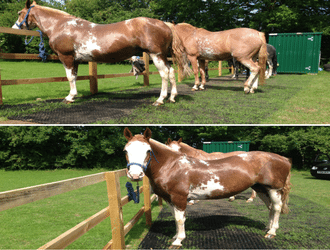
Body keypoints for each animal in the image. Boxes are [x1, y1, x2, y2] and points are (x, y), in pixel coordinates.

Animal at [12, 0, 189, 105]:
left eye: (20, 13)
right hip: (163, 56)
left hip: (156, 55)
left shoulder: (66, 57)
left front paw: (69, 97)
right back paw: (172, 97)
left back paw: (160, 99)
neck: (61, 26)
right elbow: (74, 76)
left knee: (164, 74)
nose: (14, 28)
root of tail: (165, 24)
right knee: (171, 72)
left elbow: (70, 77)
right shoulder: (75, 60)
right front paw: (73, 95)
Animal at [124, 129, 292, 248]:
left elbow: (180, 219)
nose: (135, 174)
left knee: (277, 208)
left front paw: (178, 241)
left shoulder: (179, 198)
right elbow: (176, 218)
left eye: (148, 151)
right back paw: (267, 228)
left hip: (274, 189)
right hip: (262, 189)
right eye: (126, 151)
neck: (172, 166)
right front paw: (175, 236)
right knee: (270, 207)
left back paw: (272, 232)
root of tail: (284, 159)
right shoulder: (170, 199)